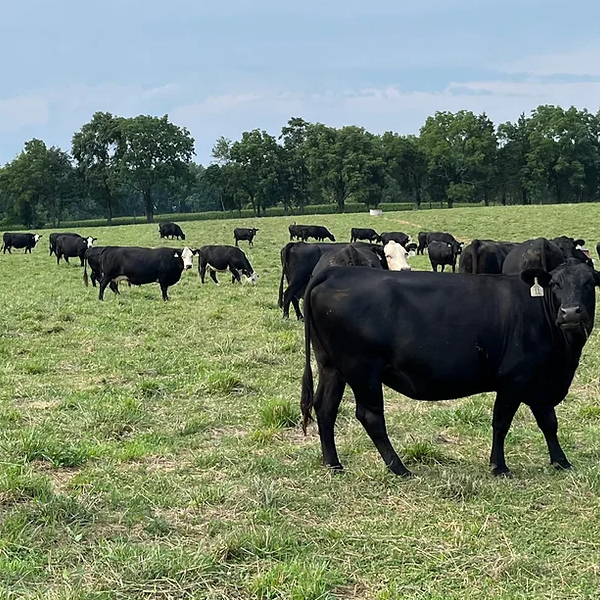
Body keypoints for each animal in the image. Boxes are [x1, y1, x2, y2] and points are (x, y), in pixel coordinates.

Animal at [302, 262, 600, 478]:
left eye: (589, 283)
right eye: (555, 283)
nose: (570, 312)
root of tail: (336, 271)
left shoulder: (539, 382)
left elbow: (549, 423)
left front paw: (561, 462)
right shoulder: (513, 379)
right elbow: (501, 423)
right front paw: (499, 467)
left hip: (331, 366)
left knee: (325, 407)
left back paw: (334, 464)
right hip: (363, 370)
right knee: (370, 416)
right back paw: (399, 468)